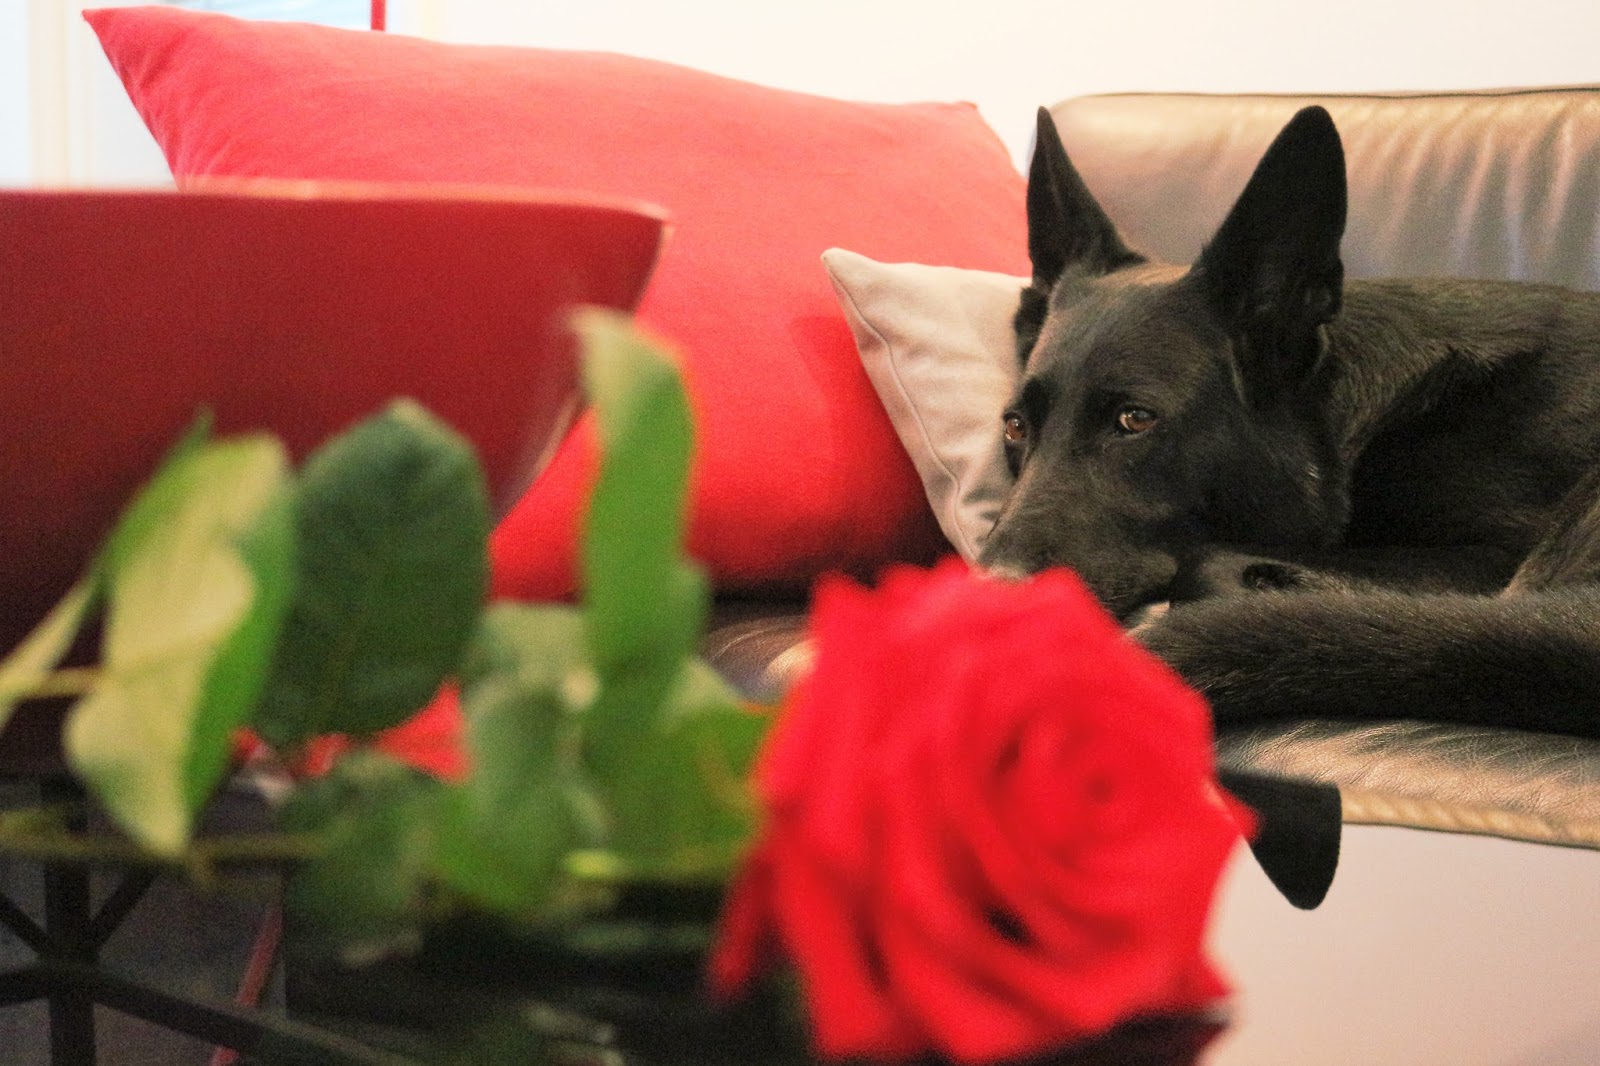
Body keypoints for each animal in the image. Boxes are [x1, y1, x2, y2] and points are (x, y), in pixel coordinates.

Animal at [978, 105, 1600, 739]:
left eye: (1135, 419)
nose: (989, 607)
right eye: (1015, 428)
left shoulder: (1485, 559)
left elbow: (1216, 565)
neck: (1348, 429)